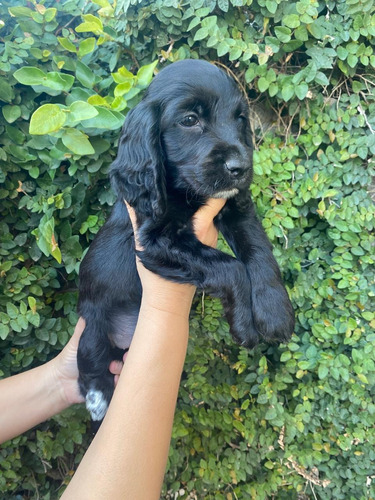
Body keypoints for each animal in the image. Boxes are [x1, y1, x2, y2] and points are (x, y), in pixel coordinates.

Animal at [76, 60, 296, 424]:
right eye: (190, 120)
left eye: (240, 118)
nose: (241, 168)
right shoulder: (157, 240)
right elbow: (231, 266)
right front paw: (245, 325)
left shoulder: (235, 208)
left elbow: (259, 251)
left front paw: (274, 311)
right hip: (93, 325)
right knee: (89, 363)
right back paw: (99, 401)